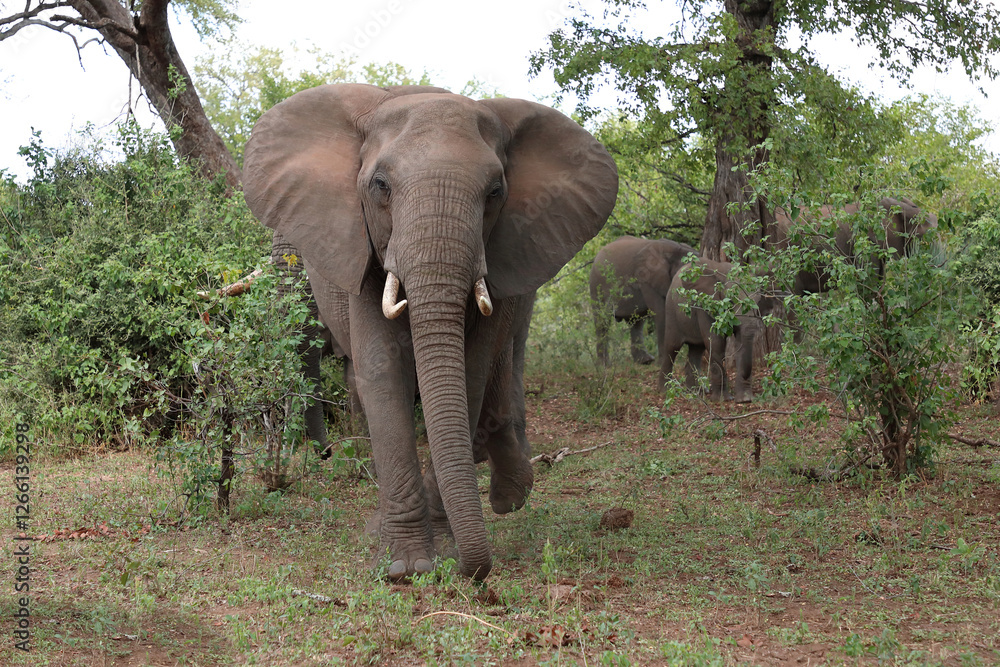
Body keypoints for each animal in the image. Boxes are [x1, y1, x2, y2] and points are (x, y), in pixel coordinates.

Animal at [243, 83, 618, 581]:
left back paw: (508, 495)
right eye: (380, 185)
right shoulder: (364, 248)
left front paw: (443, 547)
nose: (476, 572)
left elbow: (469, 373)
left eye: (496, 192)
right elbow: (382, 373)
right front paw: (407, 565)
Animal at [589, 236, 699, 366]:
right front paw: (662, 363)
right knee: (602, 320)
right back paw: (604, 365)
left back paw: (645, 361)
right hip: (596, 285)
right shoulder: (647, 279)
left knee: (637, 322)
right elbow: (661, 312)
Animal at [660, 257, 777, 403]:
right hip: (671, 311)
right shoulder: (706, 305)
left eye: (758, 300)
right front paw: (723, 399)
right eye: (731, 300)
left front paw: (744, 400)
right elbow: (716, 343)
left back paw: (695, 392)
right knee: (671, 348)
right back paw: (665, 392)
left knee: (696, 350)